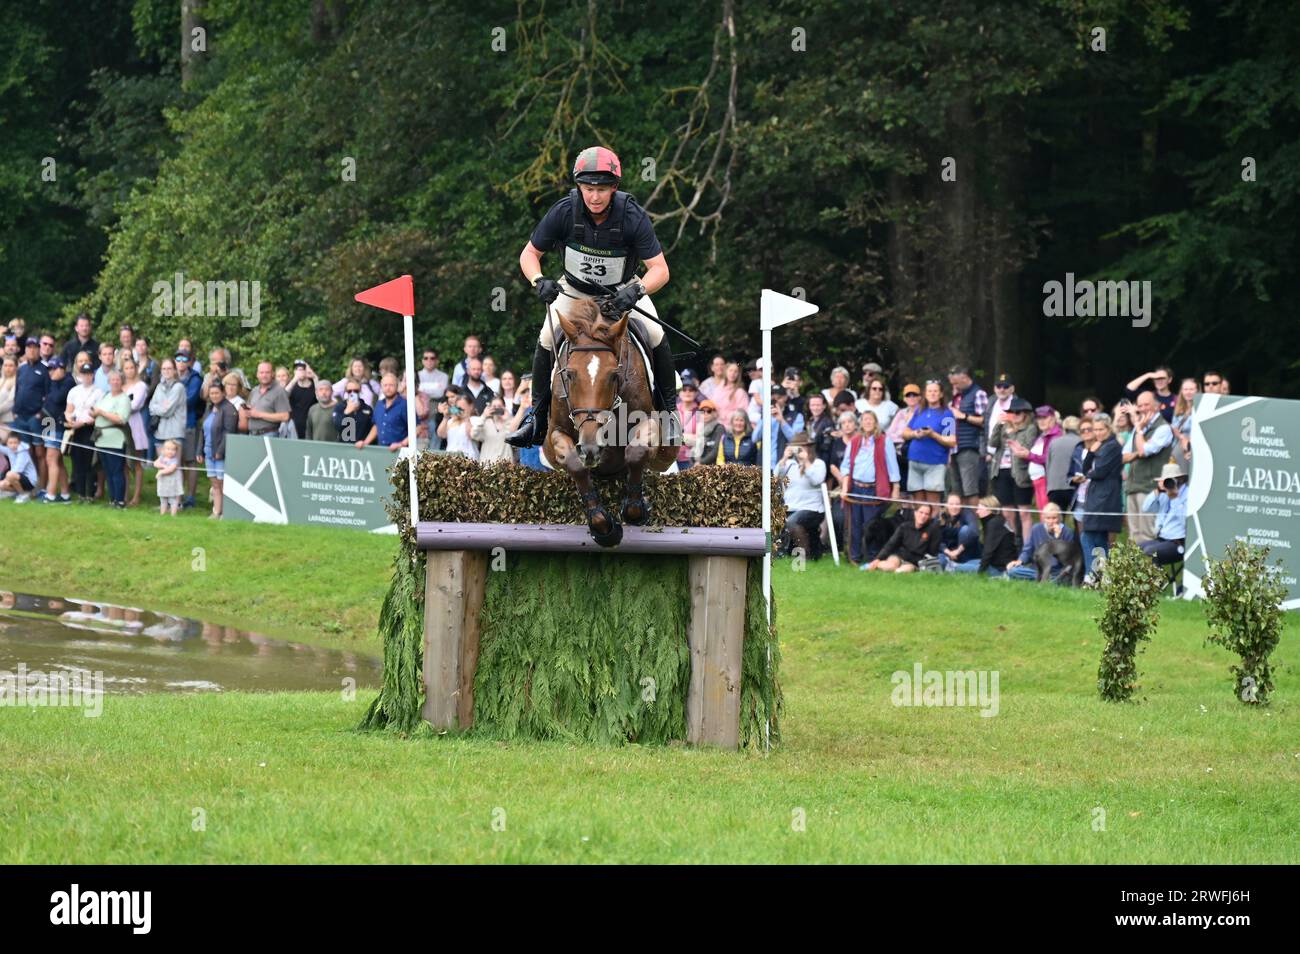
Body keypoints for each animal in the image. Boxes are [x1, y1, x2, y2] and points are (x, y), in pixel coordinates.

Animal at [540, 298, 676, 553]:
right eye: (569, 374)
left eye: (614, 375)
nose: (590, 449)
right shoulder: (557, 432)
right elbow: (574, 463)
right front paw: (603, 526)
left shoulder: (649, 423)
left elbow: (636, 452)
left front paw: (636, 510)